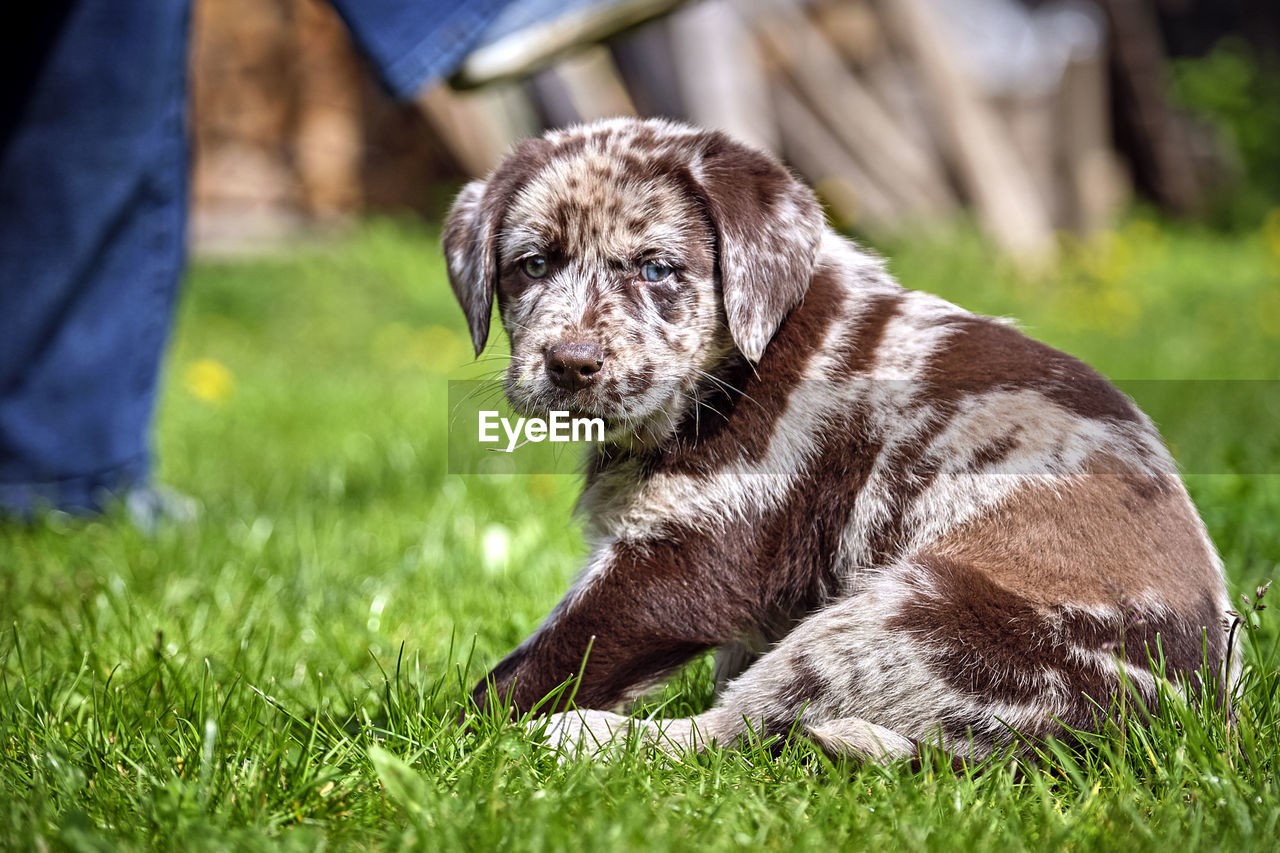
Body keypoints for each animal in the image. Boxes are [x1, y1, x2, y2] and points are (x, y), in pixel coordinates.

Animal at [445, 114, 1233, 758]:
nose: (570, 363)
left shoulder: (681, 562)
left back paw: (582, 738)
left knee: (734, 731)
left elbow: (530, 672)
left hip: (906, 615)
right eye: (534, 264)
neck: (736, 364)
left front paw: (435, 740)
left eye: (656, 269)